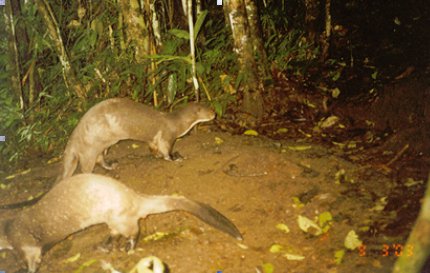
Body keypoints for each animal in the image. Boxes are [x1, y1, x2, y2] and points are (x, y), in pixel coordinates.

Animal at [0, 173, 242, 270]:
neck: (9, 231)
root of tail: (133, 196)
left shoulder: (26, 245)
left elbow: (33, 259)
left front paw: (25, 269)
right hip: (114, 220)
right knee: (115, 234)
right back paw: (104, 246)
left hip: (121, 218)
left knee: (133, 232)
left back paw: (129, 248)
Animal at [60, 98, 215, 181]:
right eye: (209, 111)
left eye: (210, 106)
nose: (215, 114)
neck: (175, 122)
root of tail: (75, 135)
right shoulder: (167, 135)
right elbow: (165, 149)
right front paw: (174, 158)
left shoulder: (153, 140)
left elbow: (153, 147)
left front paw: (157, 155)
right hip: (90, 148)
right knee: (85, 168)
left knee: (100, 159)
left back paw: (112, 166)